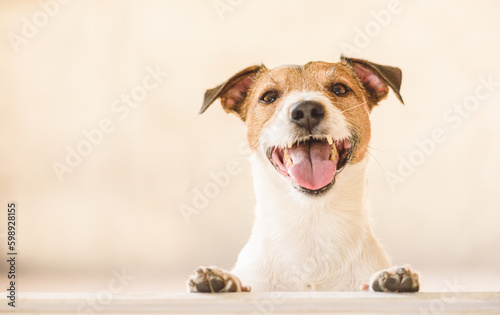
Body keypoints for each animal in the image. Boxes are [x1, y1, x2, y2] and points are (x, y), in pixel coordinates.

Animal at [188, 56, 418, 294]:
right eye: (269, 97)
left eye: (339, 89)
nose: (306, 110)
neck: (311, 222)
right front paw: (224, 280)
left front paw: (392, 278)